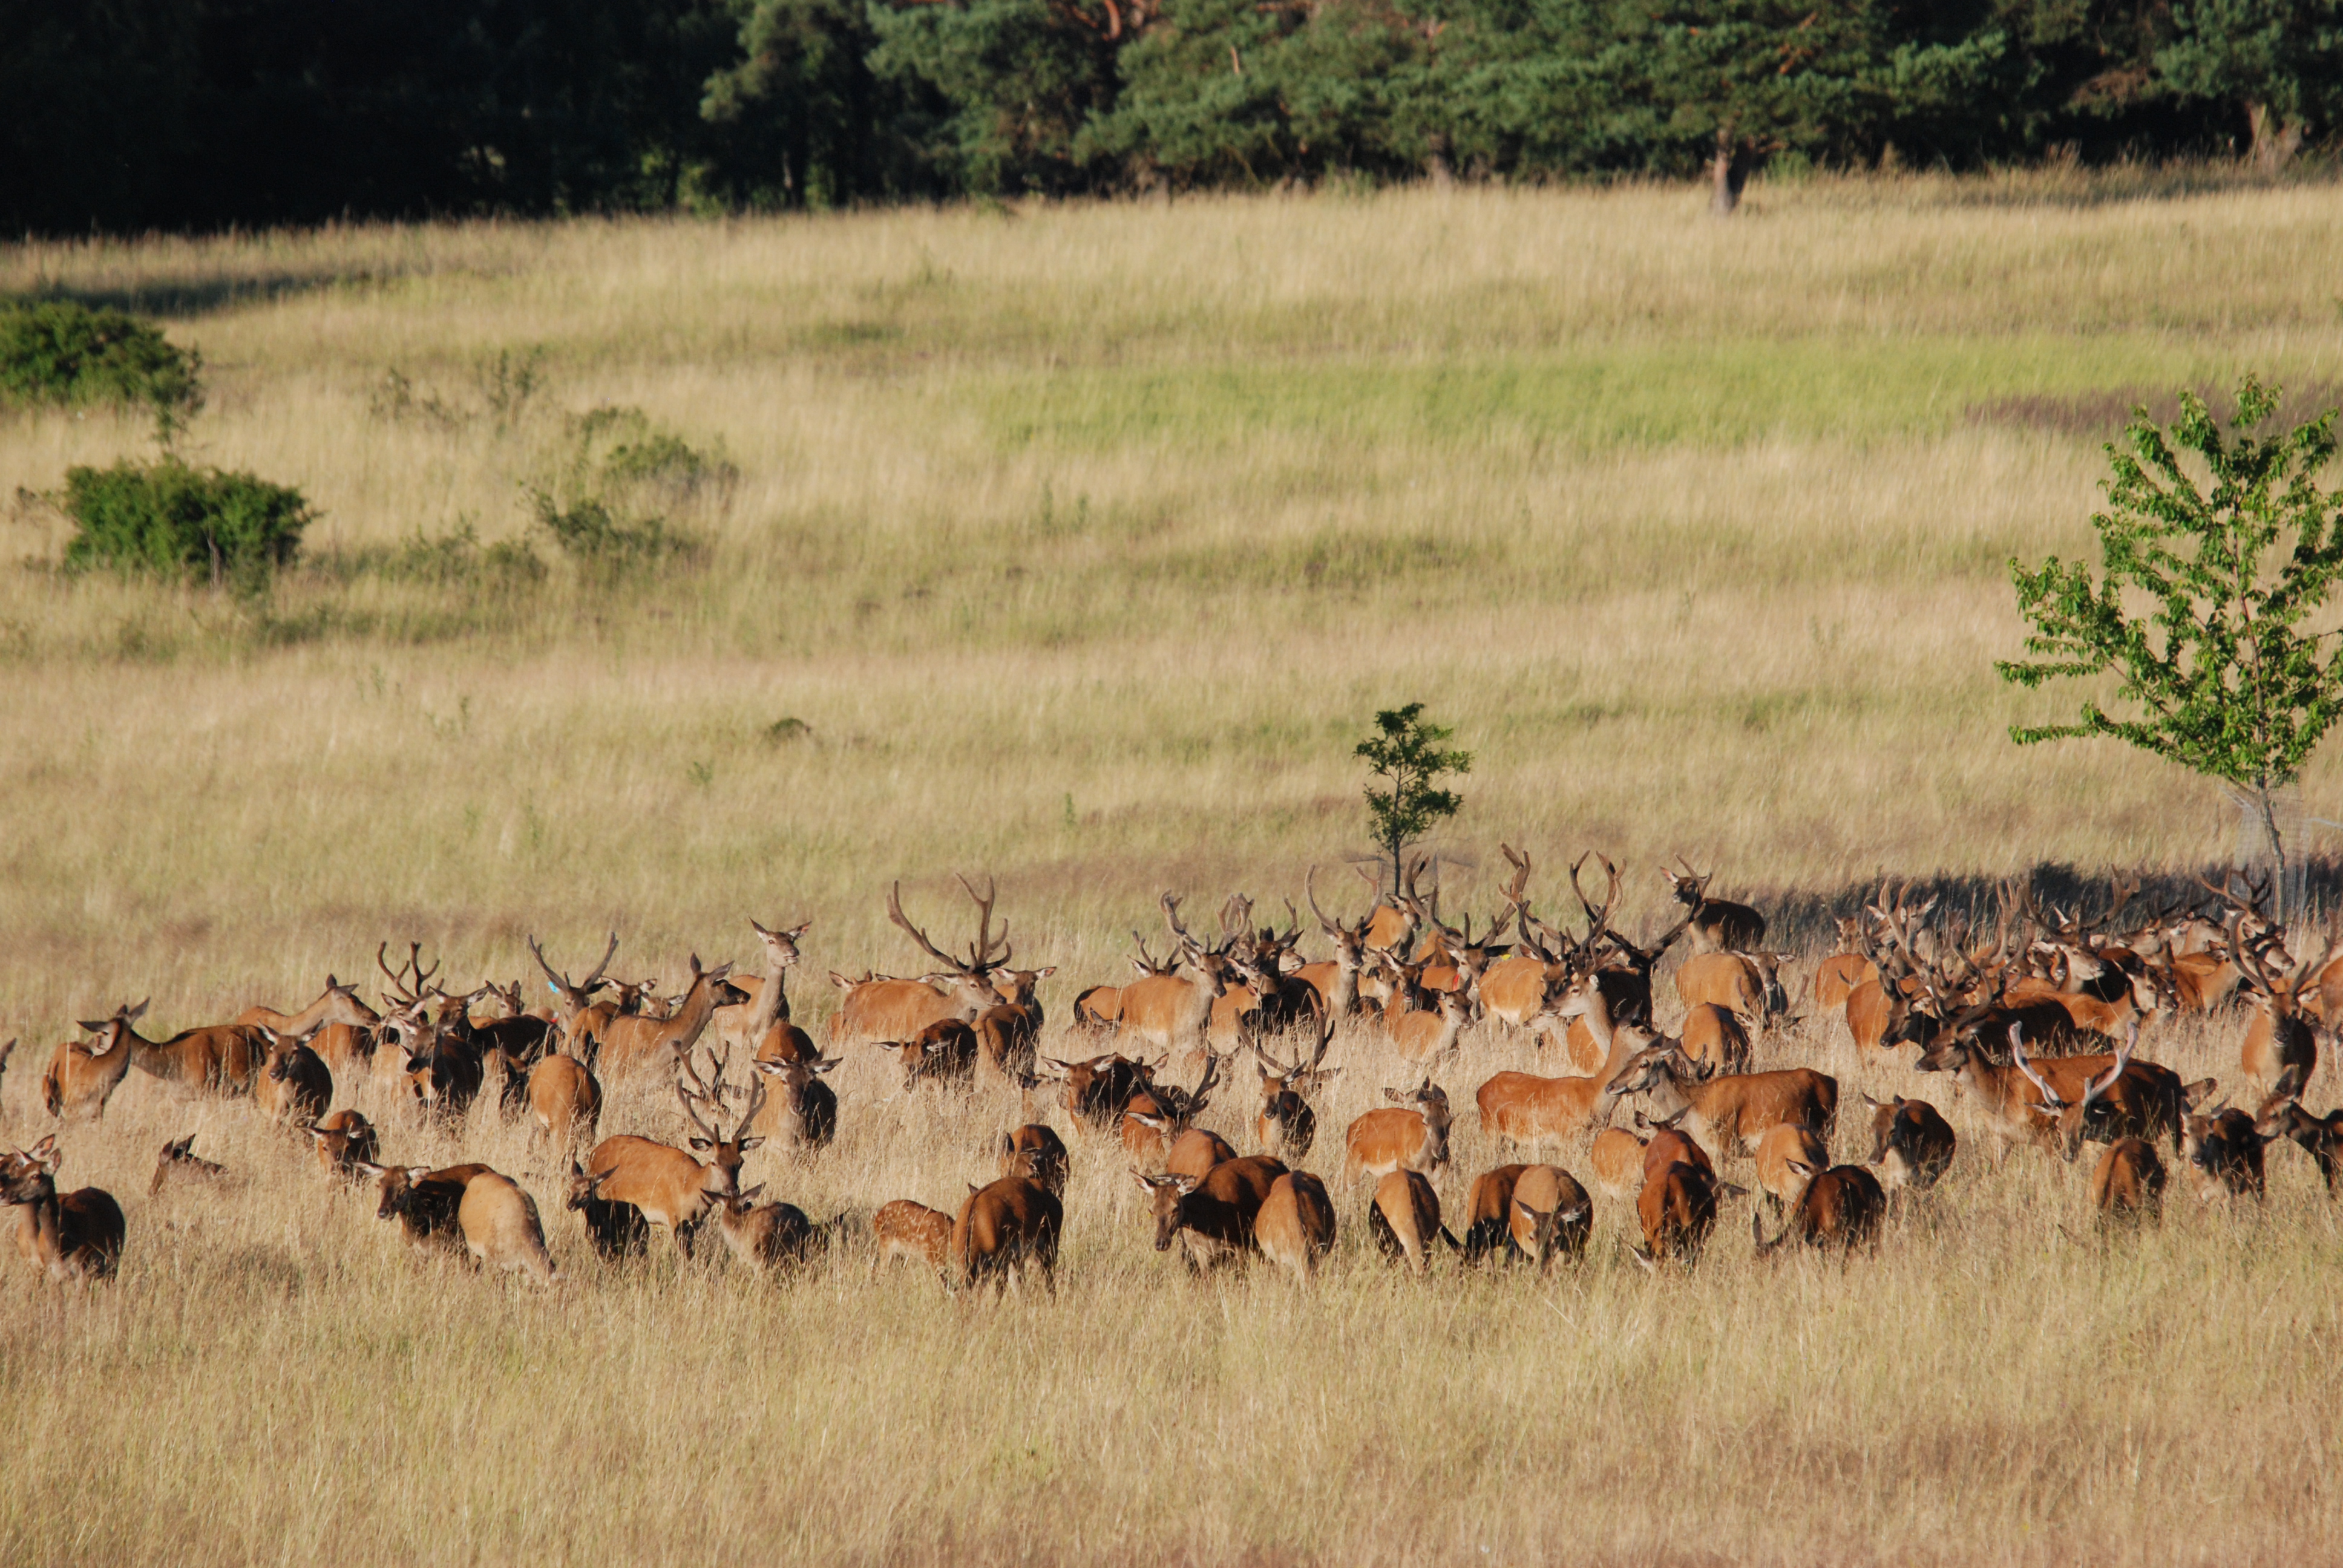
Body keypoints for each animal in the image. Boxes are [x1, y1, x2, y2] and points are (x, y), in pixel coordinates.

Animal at [2, 1138, 126, 1284]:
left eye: (36, 1176)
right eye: (20, 1173)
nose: (3, 1195)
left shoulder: (83, 1271)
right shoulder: (50, 1273)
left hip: (113, 1259)